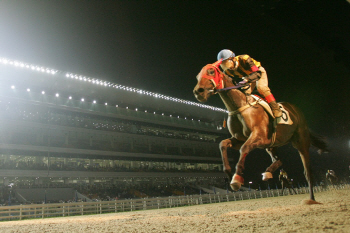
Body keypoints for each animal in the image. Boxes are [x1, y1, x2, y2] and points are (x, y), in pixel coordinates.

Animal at [193, 60, 330, 202]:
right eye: (197, 76)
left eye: (211, 71)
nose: (198, 91)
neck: (240, 105)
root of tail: (295, 110)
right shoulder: (239, 139)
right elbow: (223, 144)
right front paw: (229, 172)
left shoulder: (260, 137)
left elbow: (244, 149)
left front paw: (236, 178)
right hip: (272, 144)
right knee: (279, 160)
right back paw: (268, 172)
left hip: (300, 141)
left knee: (307, 171)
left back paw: (311, 198)